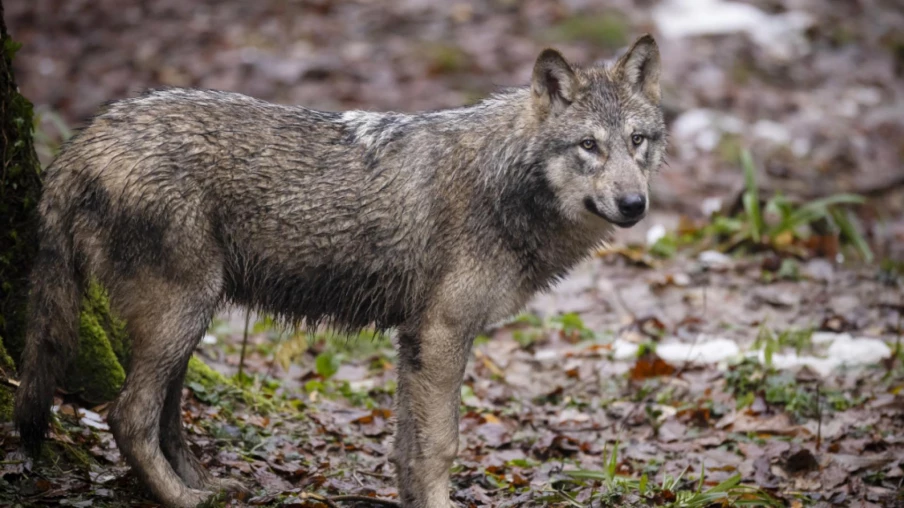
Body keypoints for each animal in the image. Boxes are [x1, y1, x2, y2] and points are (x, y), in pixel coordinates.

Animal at [14, 35, 665, 507]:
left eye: (638, 140)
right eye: (589, 146)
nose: (635, 204)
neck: (503, 183)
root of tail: (82, 142)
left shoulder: (414, 341)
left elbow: (407, 449)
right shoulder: (442, 334)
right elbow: (441, 445)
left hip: (186, 322)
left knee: (164, 415)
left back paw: (205, 485)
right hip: (181, 314)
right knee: (128, 416)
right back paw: (182, 499)